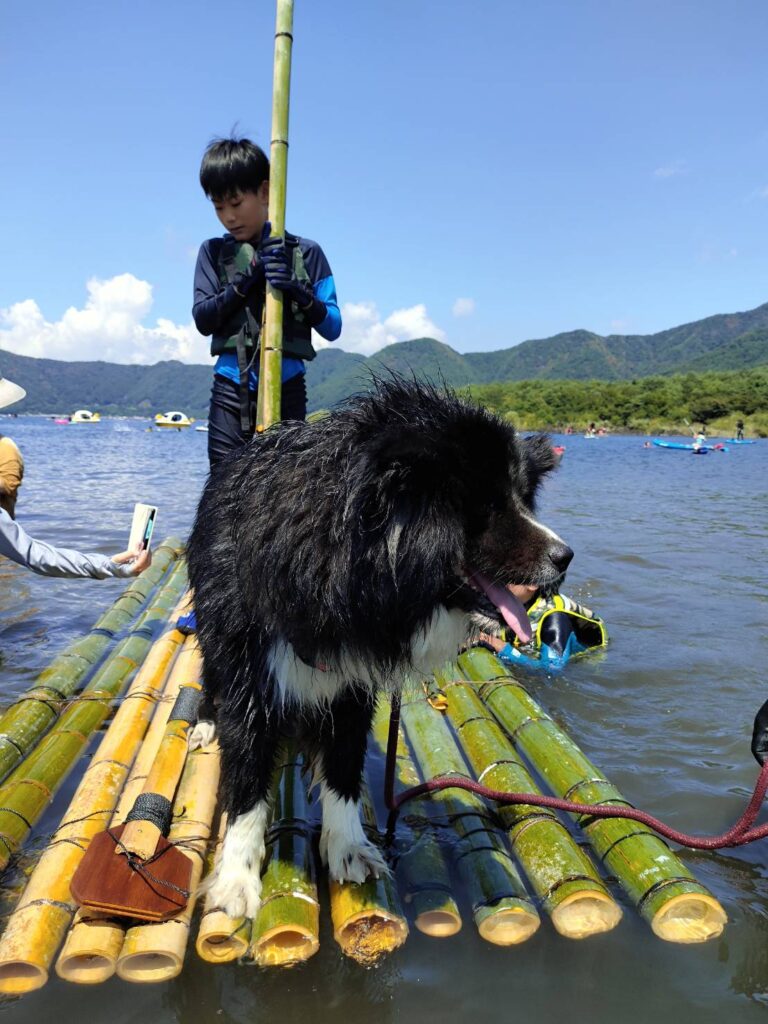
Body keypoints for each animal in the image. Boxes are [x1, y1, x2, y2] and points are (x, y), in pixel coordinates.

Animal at [186, 378, 573, 921]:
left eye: (523, 499)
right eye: (488, 505)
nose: (565, 556)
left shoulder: (351, 683)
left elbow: (345, 769)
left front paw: (348, 847)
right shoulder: (251, 671)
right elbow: (246, 780)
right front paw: (235, 881)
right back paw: (204, 722)